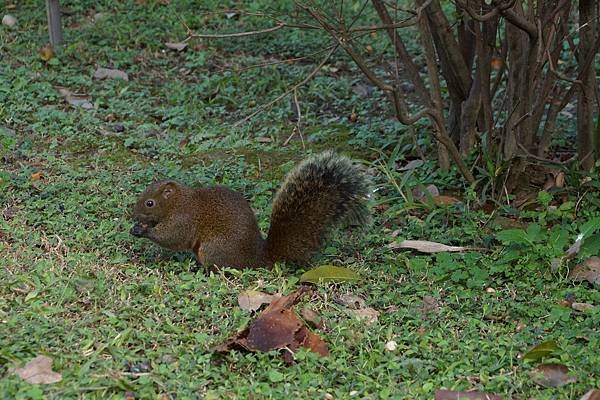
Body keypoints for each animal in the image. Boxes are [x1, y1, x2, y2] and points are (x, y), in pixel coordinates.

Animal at [131, 152, 370, 270]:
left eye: (149, 203)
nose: (134, 215)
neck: (179, 202)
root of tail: (258, 257)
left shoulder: (184, 219)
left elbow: (172, 237)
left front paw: (142, 231)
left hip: (213, 249)